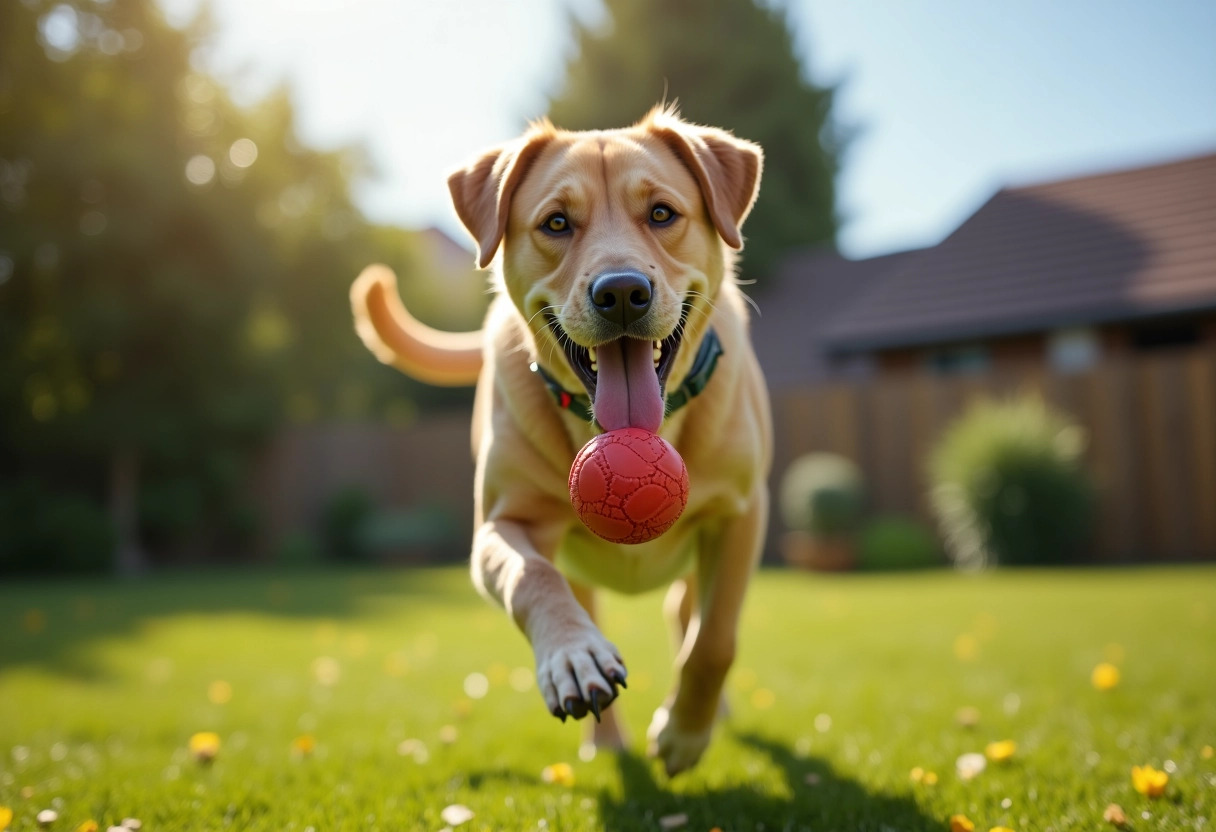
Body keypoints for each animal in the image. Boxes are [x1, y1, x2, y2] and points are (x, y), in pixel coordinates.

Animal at [352, 104, 768, 773]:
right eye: (556, 222)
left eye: (662, 213)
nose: (621, 291)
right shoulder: (503, 525)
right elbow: (532, 579)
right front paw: (574, 658)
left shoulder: (740, 514)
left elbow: (715, 638)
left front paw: (683, 734)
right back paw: (607, 737)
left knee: (685, 611)